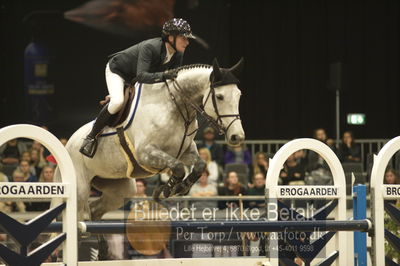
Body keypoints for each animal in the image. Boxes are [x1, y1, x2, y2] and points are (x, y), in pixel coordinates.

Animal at [55, 58, 245, 222]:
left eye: (239, 95)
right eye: (220, 97)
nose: (238, 137)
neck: (173, 106)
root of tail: (68, 145)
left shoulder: (184, 151)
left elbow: (199, 165)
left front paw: (180, 187)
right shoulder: (146, 153)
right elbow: (177, 167)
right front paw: (168, 189)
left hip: (119, 187)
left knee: (95, 210)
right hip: (80, 188)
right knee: (78, 214)